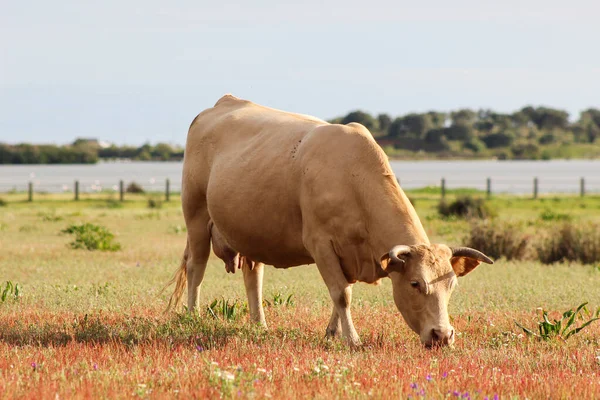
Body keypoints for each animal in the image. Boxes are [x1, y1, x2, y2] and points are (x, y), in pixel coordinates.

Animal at [165, 94, 492, 346]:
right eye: (415, 283)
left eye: (452, 285)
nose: (443, 335)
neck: (353, 178)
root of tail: (222, 103)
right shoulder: (320, 244)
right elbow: (341, 293)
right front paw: (353, 339)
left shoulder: (351, 253)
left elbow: (343, 292)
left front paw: (332, 333)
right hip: (196, 218)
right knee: (196, 268)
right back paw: (193, 315)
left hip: (251, 230)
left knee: (253, 275)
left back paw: (260, 325)